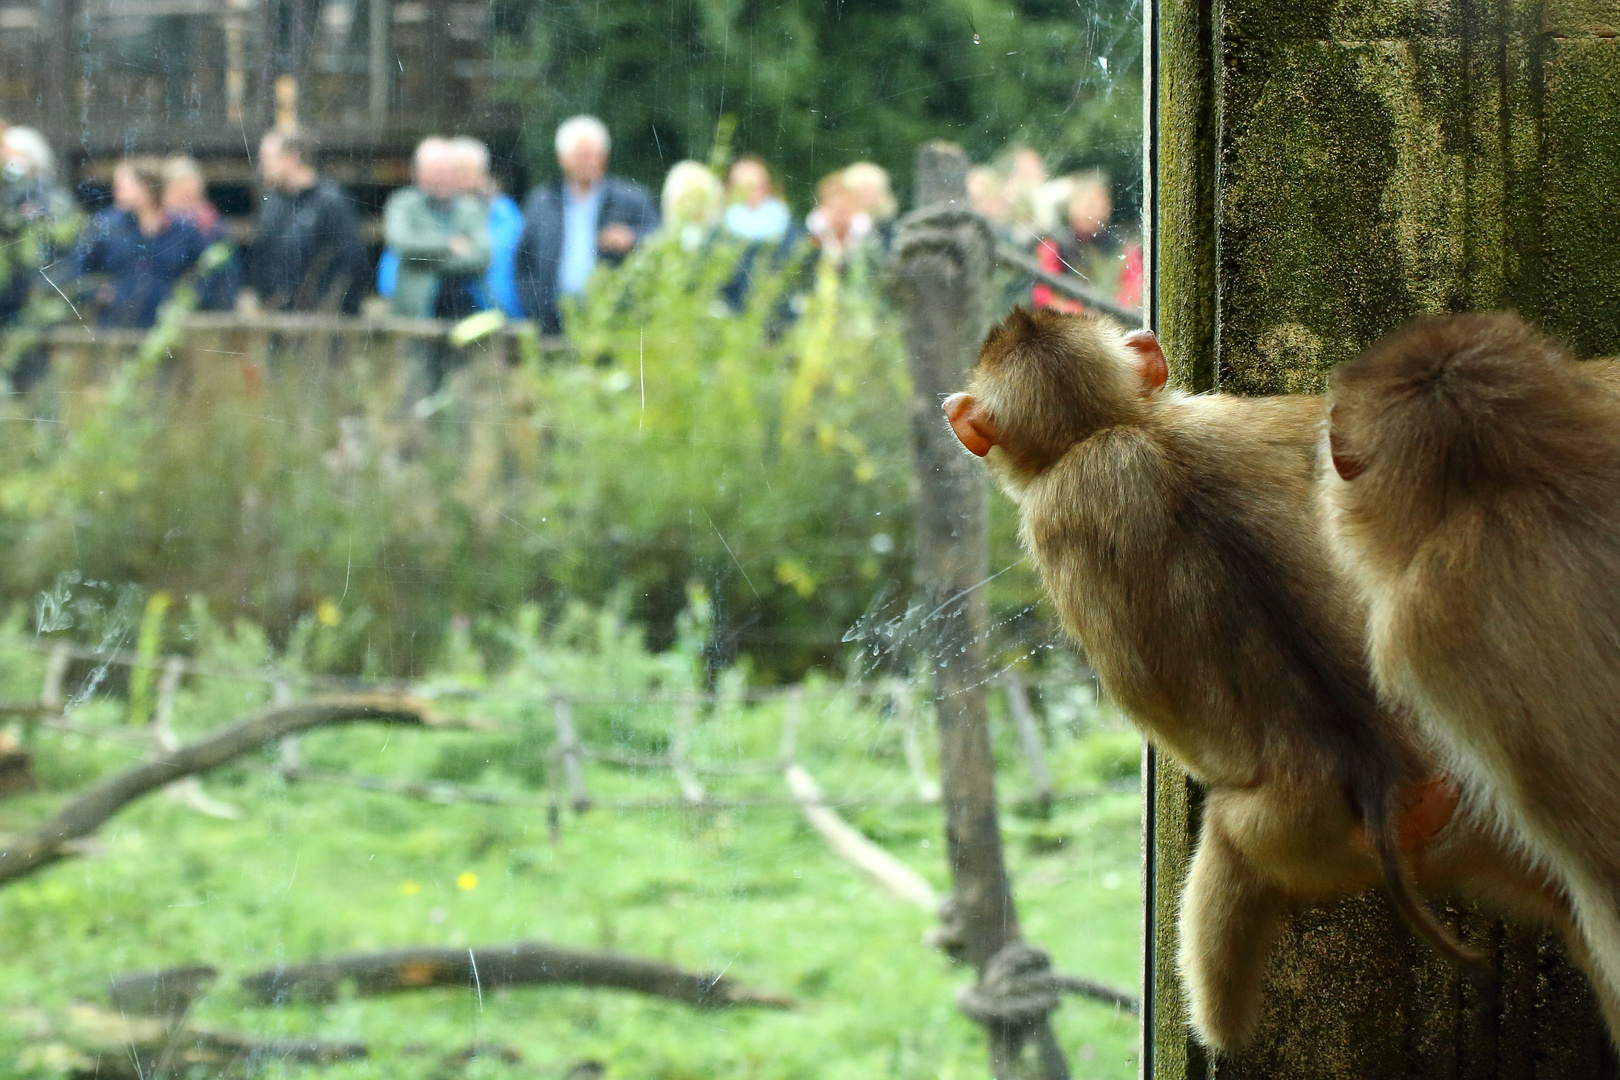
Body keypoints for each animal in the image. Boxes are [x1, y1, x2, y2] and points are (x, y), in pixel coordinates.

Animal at [939, 307, 1568, 1049]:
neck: (1112, 430)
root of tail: (1389, 780)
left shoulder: (1055, 519)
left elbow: (1147, 695)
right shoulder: (1231, 417)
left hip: (1287, 834)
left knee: (1228, 854)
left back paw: (1219, 1030)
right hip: (1472, 805)